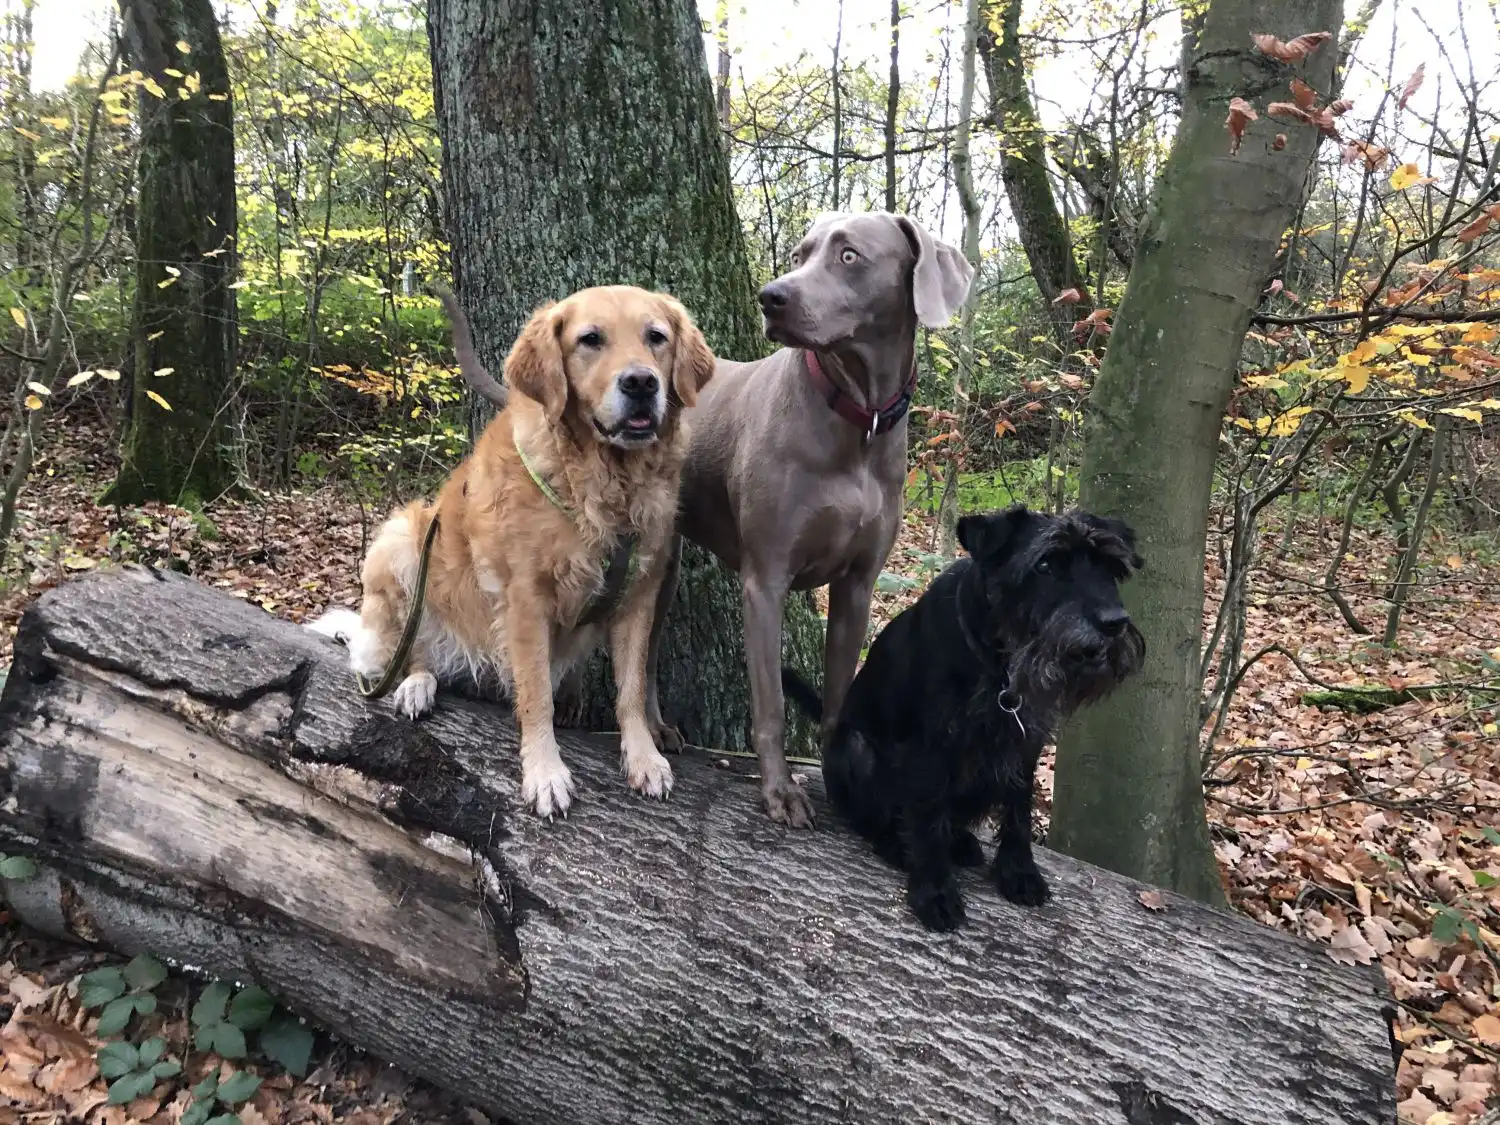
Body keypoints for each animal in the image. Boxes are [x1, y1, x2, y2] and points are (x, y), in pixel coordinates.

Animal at [642, 211, 972, 828]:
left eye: (849, 255)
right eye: (800, 254)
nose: (771, 297)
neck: (859, 420)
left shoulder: (858, 586)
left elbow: (840, 695)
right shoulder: (765, 581)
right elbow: (771, 703)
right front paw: (780, 792)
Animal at [786, 507, 1146, 930]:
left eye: (1110, 566)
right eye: (1044, 564)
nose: (1113, 622)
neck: (999, 664)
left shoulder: (1024, 744)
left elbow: (1018, 812)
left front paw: (1019, 871)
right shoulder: (928, 750)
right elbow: (927, 822)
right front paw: (935, 891)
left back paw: (961, 843)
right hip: (855, 748)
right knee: (876, 819)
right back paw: (898, 846)